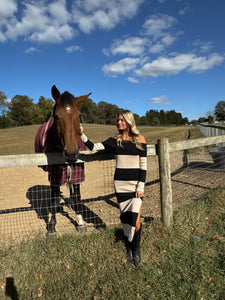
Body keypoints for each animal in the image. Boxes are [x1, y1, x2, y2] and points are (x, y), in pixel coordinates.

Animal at [35, 85, 91, 233]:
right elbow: (54, 201)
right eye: (56, 116)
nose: (71, 153)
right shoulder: (54, 177)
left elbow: (77, 197)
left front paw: (81, 223)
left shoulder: (77, 171)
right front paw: (52, 227)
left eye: (79, 115)